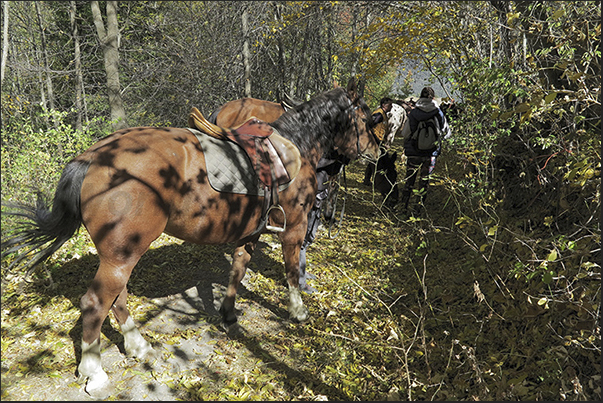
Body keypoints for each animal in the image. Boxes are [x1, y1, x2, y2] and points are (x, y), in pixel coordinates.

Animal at [0, 78, 378, 394]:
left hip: (118, 254)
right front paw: (298, 311)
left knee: (117, 299)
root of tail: (93, 156)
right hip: (121, 255)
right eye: (365, 117)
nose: (378, 148)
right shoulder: (294, 226)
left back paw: (138, 346)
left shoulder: (251, 231)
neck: (295, 147)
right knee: (95, 304)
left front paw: (228, 313)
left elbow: (239, 266)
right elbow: (291, 271)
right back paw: (94, 372)